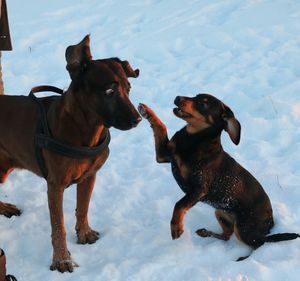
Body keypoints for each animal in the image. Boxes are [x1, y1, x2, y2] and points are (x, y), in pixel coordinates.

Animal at [0, 35, 142, 272]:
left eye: (128, 87)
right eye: (109, 91)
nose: (137, 119)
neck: (85, 129)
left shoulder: (89, 176)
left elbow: (83, 207)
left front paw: (84, 233)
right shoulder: (55, 186)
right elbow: (59, 227)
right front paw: (61, 259)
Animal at [139, 93, 298, 258]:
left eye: (203, 103)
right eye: (195, 95)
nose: (177, 97)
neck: (193, 139)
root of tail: (271, 220)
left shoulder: (199, 189)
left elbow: (179, 204)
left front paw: (176, 227)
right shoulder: (163, 156)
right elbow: (161, 127)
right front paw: (146, 111)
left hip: (244, 228)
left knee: (259, 243)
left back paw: (243, 258)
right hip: (220, 212)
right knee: (228, 235)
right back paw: (205, 233)